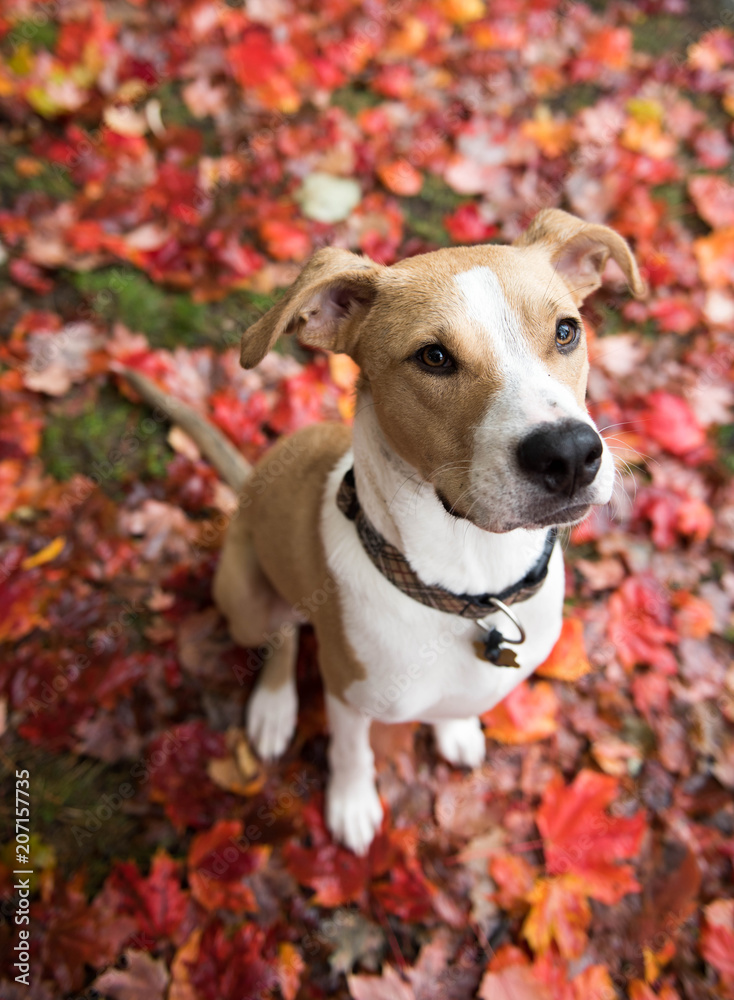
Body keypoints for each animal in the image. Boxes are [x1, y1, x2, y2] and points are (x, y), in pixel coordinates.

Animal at [131, 207, 644, 856]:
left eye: (566, 331)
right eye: (434, 358)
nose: (571, 455)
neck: (471, 584)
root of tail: (248, 483)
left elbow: (454, 707)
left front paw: (456, 729)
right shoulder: (349, 696)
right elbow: (352, 754)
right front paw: (351, 806)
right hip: (245, 597)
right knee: (281, 636)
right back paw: (273, 708)